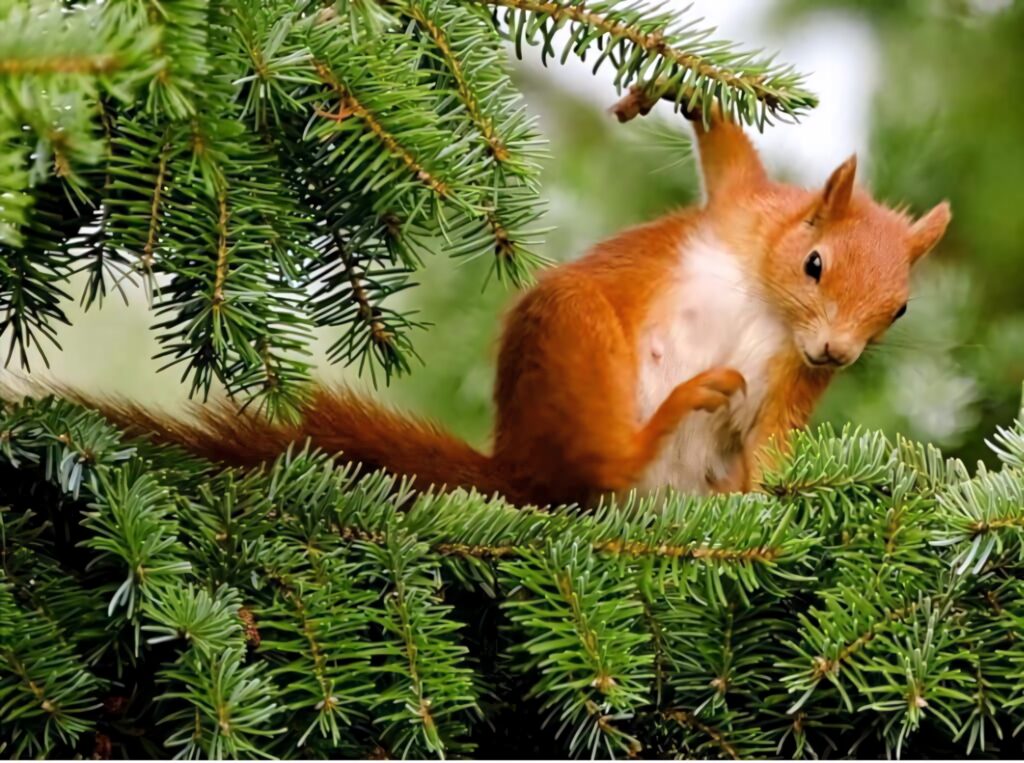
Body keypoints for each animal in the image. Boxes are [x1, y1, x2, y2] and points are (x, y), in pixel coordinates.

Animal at [68, 108, 951, 508]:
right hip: (574, 330)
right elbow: (727, 145)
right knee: (599, 461)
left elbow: (773, 454)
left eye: (901, 311)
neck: (770, 306)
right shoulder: (742, 206)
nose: (837, 353)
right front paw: (669, 87)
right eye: (814, 263)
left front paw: (778, 506)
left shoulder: (791, 385)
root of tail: (514, 473)